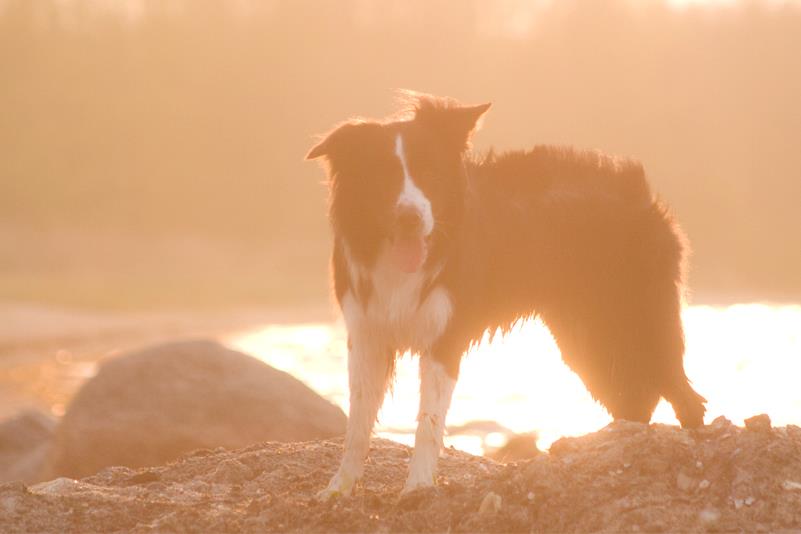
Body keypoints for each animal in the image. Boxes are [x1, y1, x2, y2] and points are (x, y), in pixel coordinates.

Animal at [306, 91, 708, 498]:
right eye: (383, 176)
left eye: (431, 175)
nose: (410, 219)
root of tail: (640, 190)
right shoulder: (367, 332)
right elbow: (357, 422)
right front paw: (339, 488)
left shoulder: (443, 336)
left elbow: (428, 421)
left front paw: (418, 486)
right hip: (584, 338)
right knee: (635, 399)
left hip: (641, 319)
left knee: (680, 391)